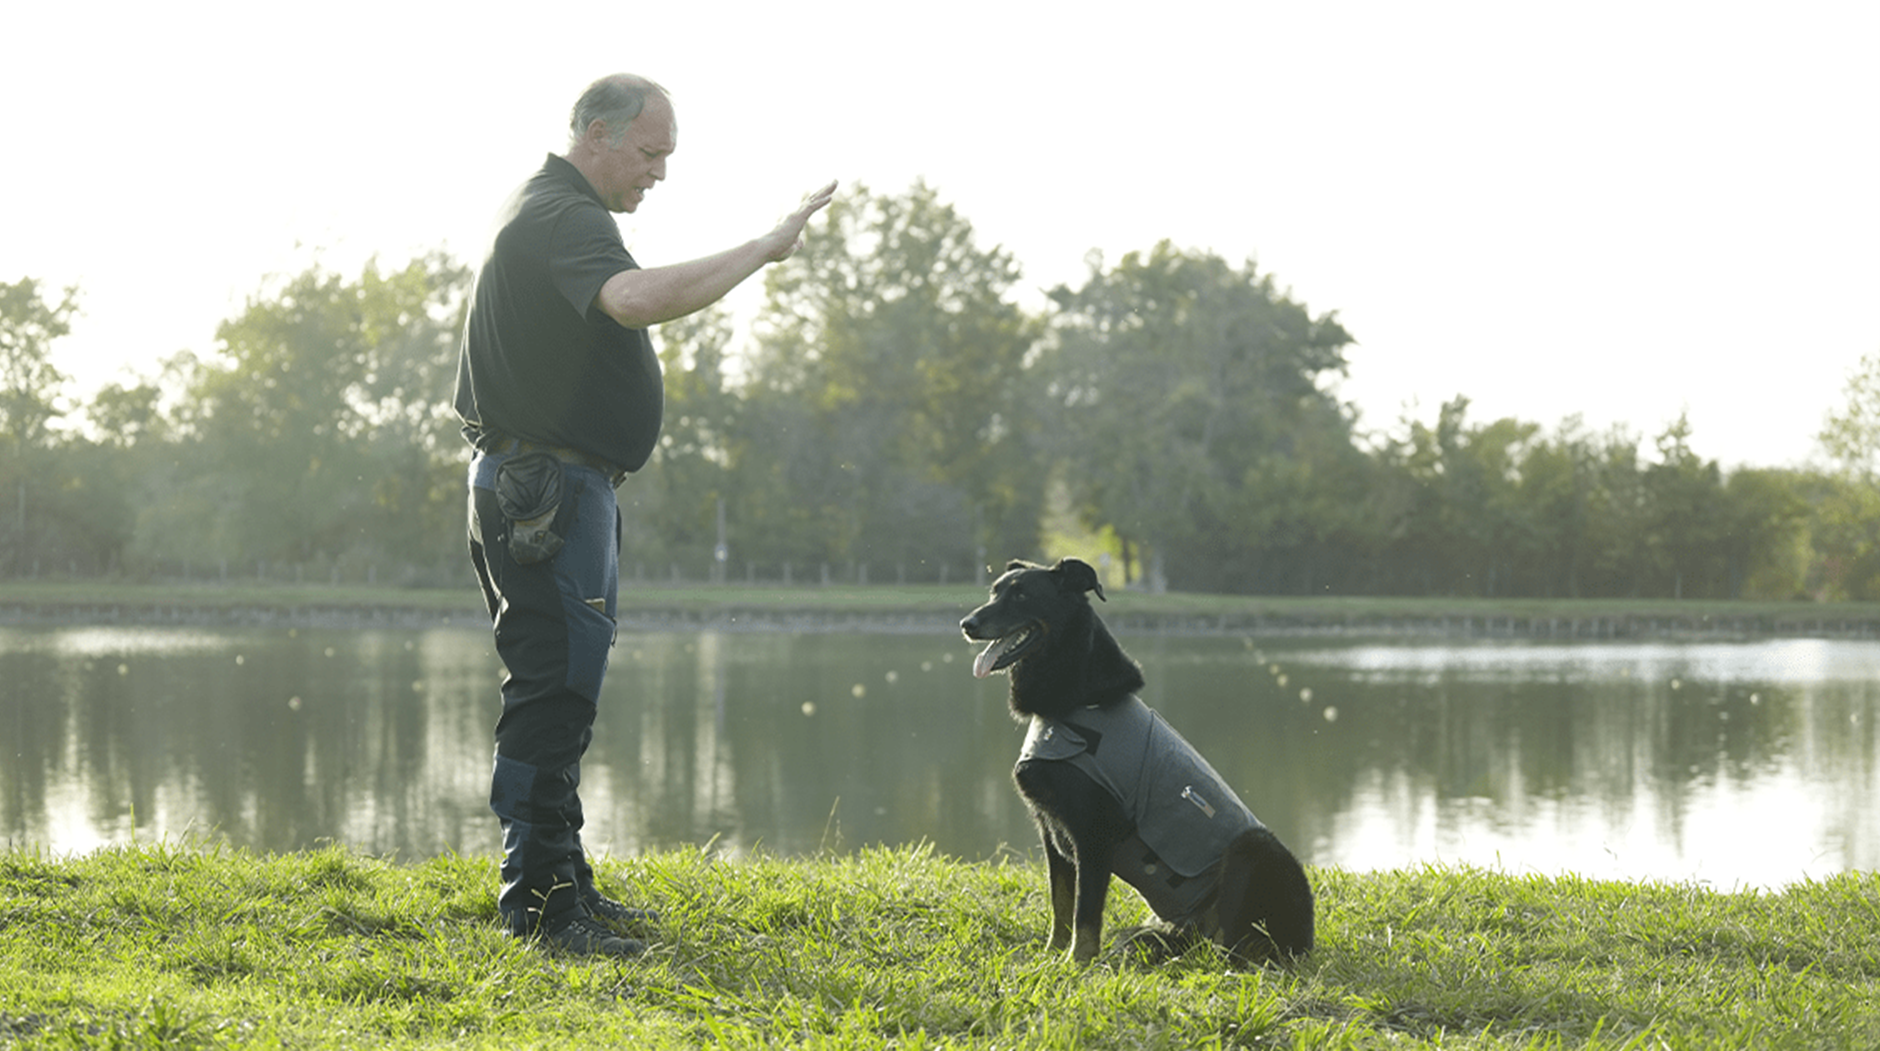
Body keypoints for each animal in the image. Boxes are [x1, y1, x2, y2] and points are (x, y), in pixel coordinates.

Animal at [962, 564, 1316, 970]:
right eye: (994, 591)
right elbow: (1061, 903)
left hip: (1254, 849)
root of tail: (1306, 942)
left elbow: (1084, 913)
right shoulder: (1050, 829)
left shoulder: (1092, 833)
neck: (1077, 706)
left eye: (1021, 595)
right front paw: (1053, 954)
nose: (966, 624)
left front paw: (1076, 964)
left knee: (1236, 944)